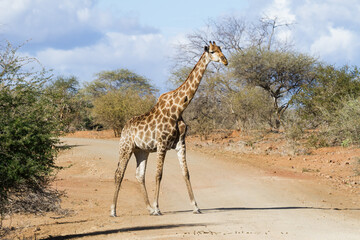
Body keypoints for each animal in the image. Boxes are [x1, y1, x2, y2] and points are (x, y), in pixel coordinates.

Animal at [109, 40, 228, 217]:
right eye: (212, 52)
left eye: (221, 49)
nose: (225, 61)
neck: (179, 108)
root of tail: (124, 128)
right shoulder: (162, 144)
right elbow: (159, 174)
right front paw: (158, 208)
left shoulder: (181, 144)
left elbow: (186, 173)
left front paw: (195, 207)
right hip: (126, 147)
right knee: (119, 173)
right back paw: (113, 210)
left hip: (141, 150)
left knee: (139, 175)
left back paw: (148, 208)